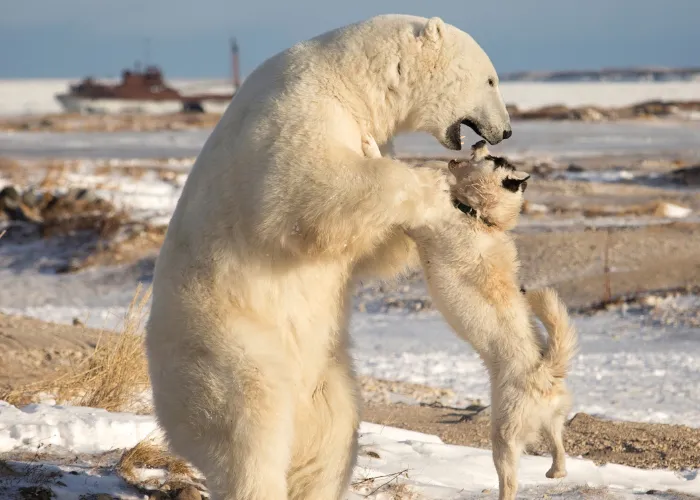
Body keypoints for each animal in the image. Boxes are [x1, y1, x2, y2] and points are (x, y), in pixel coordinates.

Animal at [146, 12, 508, 500]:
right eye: (490, 78)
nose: (505, 130)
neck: (350, 78)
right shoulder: (298, 111)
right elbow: (306, 188)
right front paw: (435, 186)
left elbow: (365, 247)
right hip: (226, 343)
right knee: (249, 426)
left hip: (324, 369)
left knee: (332, 434)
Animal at [364, 136, 576, 500]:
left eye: (491, 158)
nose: (478, 140)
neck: (479, 216)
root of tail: (544, 371)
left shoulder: (424, 218)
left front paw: (370, 147)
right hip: (550, 418)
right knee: (558, 443)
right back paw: (555, 471)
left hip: (503, 434)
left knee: (511, 478)